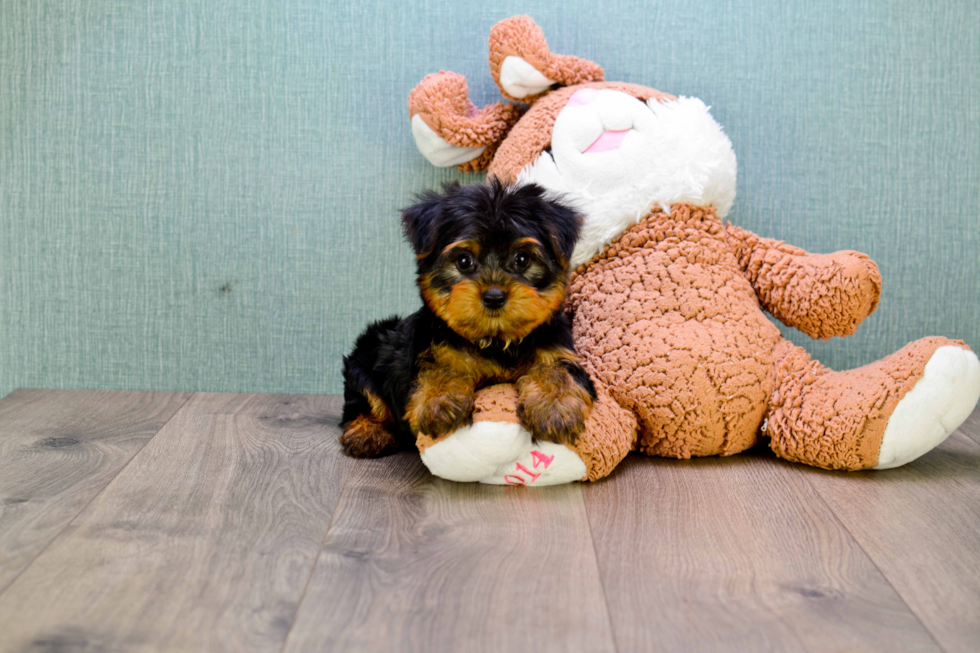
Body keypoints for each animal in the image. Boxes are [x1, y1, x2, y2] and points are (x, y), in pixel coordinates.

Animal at [340, 176, 592, 456]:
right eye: (463, 261)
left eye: (522, 259)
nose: (494, 296)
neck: (497, 341)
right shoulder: (433, 348)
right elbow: (439, 367)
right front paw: (439, 401)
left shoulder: (558, 350)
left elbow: (555, 369)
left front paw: (554, 406)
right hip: (364, 356)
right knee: (362, 401)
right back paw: (367, 432)